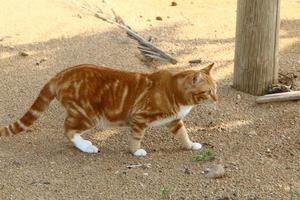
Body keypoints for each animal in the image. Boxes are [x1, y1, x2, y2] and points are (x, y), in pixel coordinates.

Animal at [0, 63, 217, 155]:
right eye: (208, 92)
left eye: (215, 89)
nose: (217, 98)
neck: (174, 90)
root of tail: (61, 74)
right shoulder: (140, 117)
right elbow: (136, 137)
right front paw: (136, 152)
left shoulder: (174, 120)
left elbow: (183, 134)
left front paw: (190, 145)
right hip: (88, 115)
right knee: (68, 129)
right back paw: (86, 147)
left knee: (70, 129)